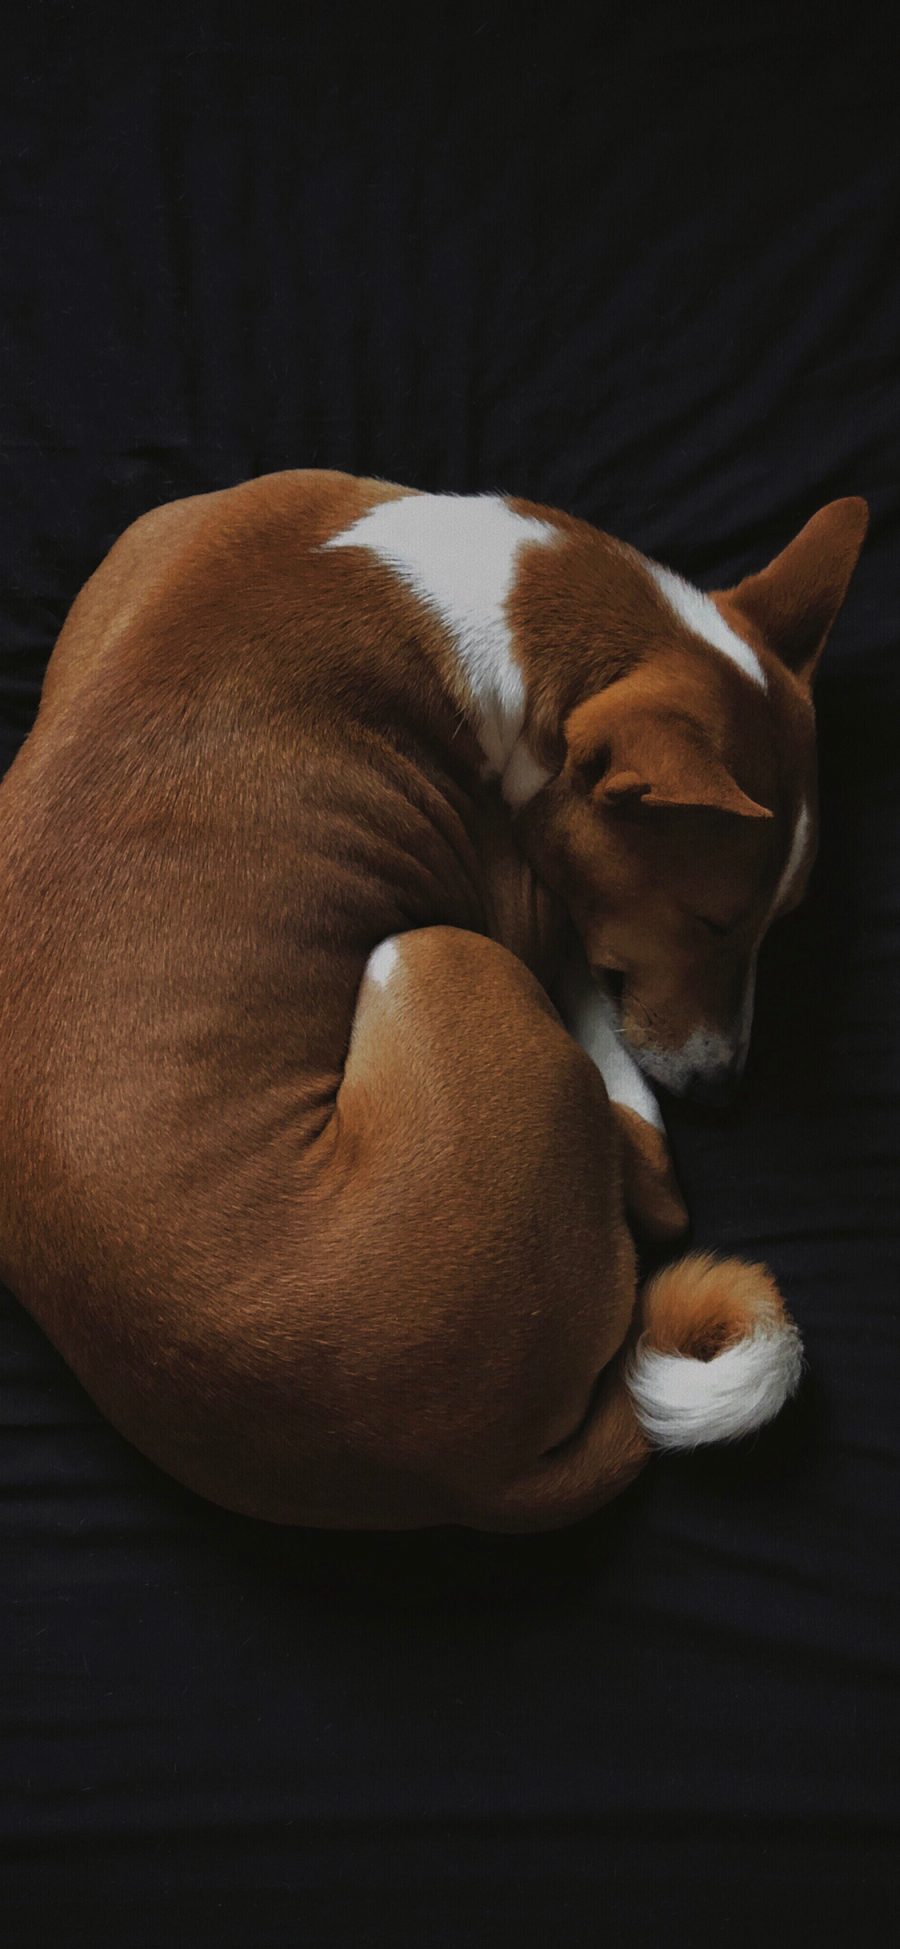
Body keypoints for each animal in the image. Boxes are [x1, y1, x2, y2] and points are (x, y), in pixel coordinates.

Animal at [1, 467, 872, 1520]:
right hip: (435, 953)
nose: (725, 1089)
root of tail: (471, 1479)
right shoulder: (519, 904)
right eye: (712, 922)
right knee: (658, 1193)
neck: (479, 594)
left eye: (781, 923)